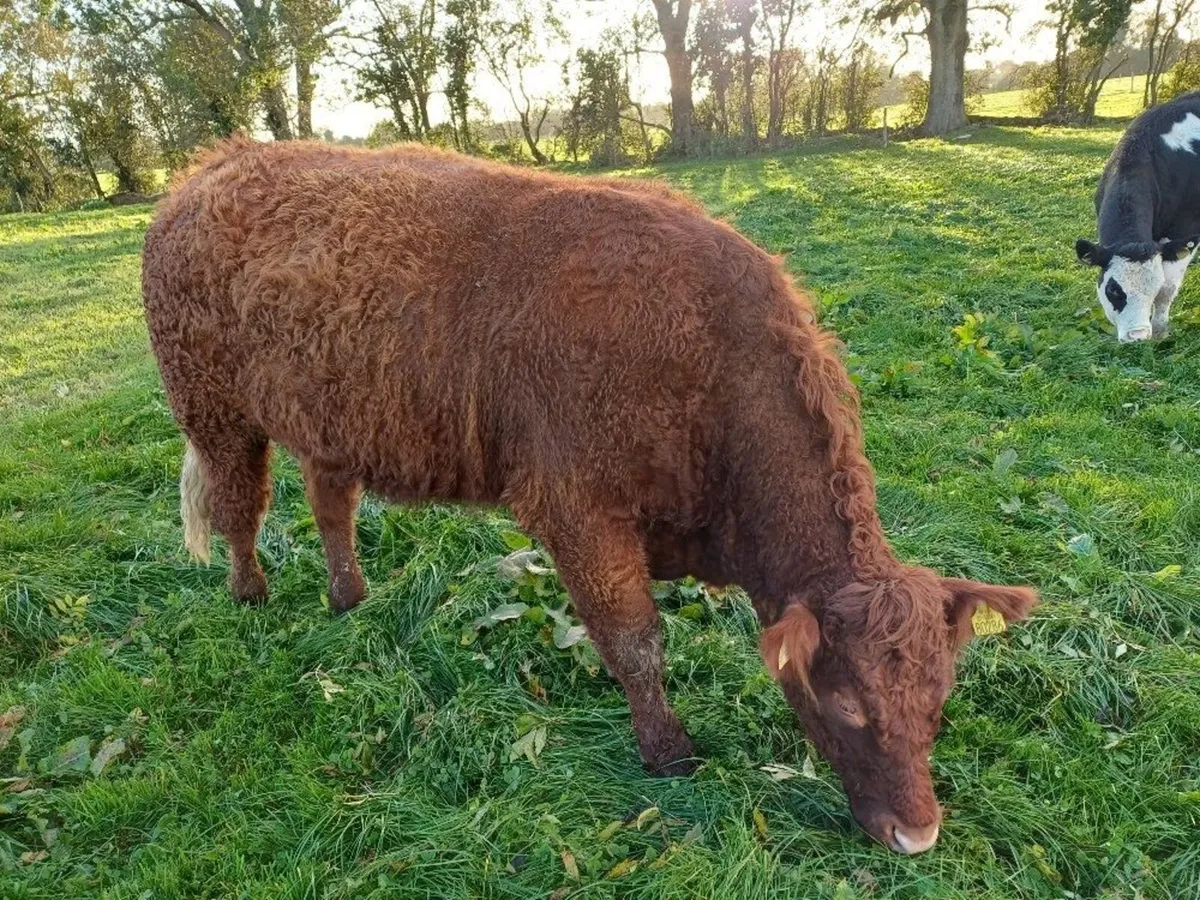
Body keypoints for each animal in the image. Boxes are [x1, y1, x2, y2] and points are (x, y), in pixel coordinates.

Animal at [142, 138, 1038, 854]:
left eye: (940, 701)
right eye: (847, 703)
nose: (918, 835)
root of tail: (214, 162)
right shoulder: (575, 507)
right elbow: (635, 641)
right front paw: (668, 751)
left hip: (332, 421)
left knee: (331, 504)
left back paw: (349, 597)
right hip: (214, 409)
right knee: (239, 505)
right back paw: (251, 594)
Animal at [1076, 91, 1200, 342]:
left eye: (1155, 288)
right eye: (1113, 289)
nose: (1137, 335)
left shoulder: (1186, 231)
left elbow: (1169, 288)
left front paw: (1160, 332)